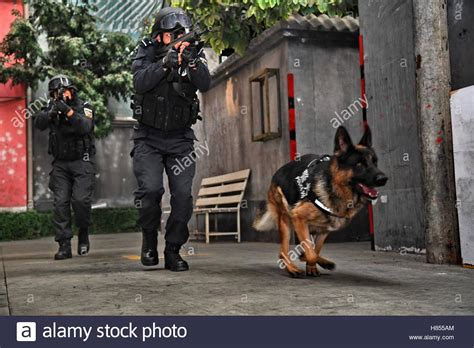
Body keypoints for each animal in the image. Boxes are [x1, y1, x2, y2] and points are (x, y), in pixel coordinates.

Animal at [254, 125, 386, 278]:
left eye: (375, 162)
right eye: (359, 164)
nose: (383, 179)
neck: (335, 186)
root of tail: (278, 171)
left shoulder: (324, 229)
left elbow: (314, 250)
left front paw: (313, 266)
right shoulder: (298, 217)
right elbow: (310, 254)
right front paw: (309, 261)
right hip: (286, 220)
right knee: (283, 252)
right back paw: (292, 269)